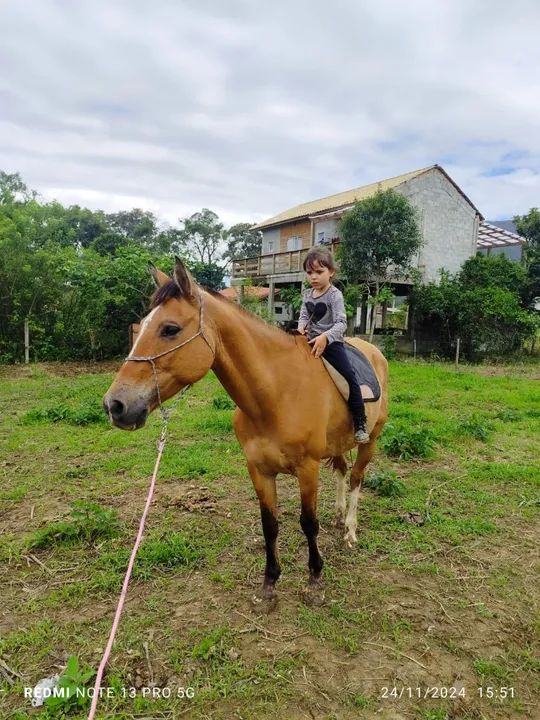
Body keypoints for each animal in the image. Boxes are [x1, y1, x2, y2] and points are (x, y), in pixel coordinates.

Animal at [103, 257, 388, 607]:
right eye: (142, 325)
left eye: (170, 329)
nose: (115, 405)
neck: (277, 393)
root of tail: (372, 351)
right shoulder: (258, 470)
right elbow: (270, 525)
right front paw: (270, 582)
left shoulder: (307, 469)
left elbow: (308, 524)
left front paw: (314, 579)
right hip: (336, 444)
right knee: (342, 471)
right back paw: (338, 516)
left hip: (370, 440)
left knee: (357, 478)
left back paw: (349, 530)